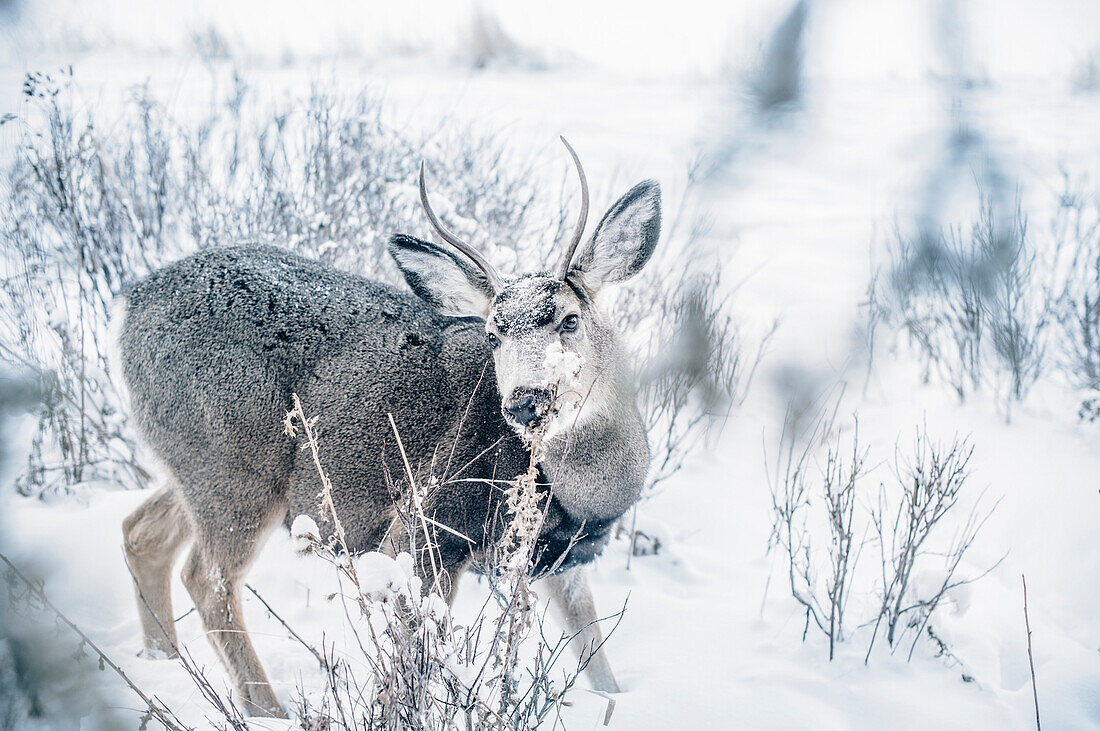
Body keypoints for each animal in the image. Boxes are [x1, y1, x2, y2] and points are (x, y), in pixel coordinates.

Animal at [114, 138, 655, 716]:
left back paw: (162, 661)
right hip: (234, 464)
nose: (525, 402)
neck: (583, 495)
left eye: (570, 319)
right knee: (207, 579)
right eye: (493, 334)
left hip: (192, 458)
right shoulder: (427, 522)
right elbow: (412, 654)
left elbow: (596, 654)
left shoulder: (559, 559)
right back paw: (267, 711)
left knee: (142, 533)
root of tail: (132, 304)